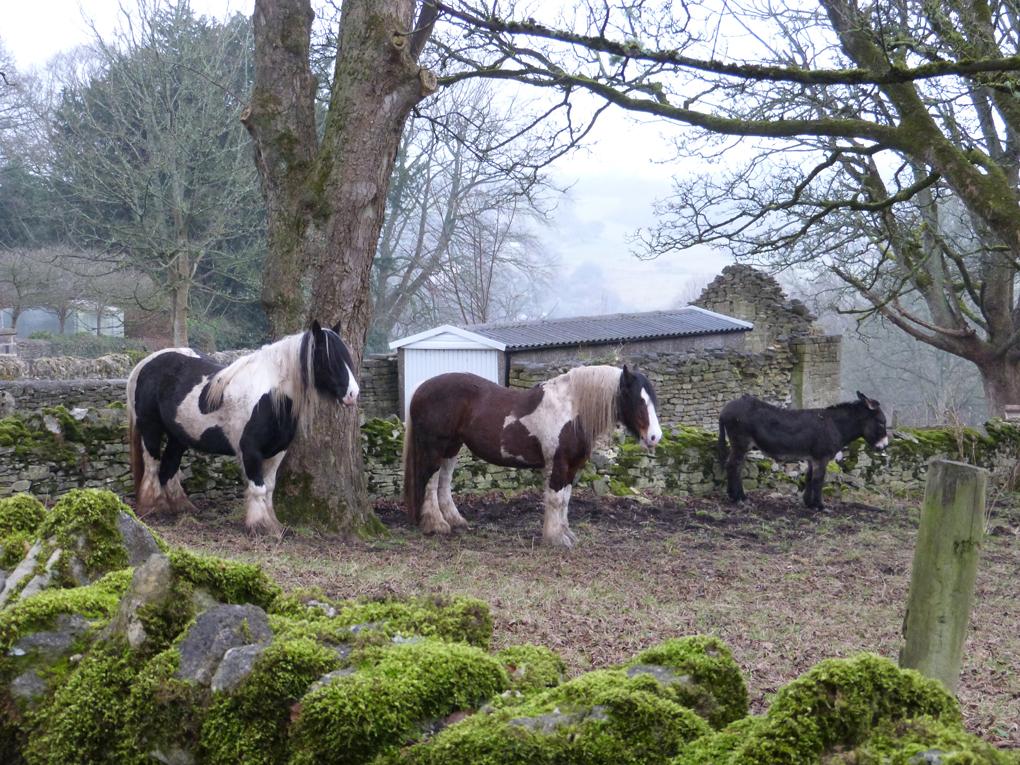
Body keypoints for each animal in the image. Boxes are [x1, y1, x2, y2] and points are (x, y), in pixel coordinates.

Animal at [126, 320, 359, 534]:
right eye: (329, 359)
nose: (353, 394)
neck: (271, 398)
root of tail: (143, 365)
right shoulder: (250, 451)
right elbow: (258, 488)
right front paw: (260, 525)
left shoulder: (278, 452)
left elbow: (269, 488)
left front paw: (273, 523)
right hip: (151, 430)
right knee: (153, 466)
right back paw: (153, 507)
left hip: (179, 437)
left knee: (169, 468)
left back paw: (180, 507)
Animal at [397, 369, 660, 546]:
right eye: (638, 399)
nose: (655, 437)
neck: (571, 410)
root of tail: (421, 386)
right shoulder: (558, 464)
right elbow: (555, 499)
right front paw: (555, 538)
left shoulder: (572, 467)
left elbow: (565, 499)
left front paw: (566, 533)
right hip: (435, 446)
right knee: (430, 482)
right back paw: (436, 525)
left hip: (452, 447)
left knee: (444, 480)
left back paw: (455, 521)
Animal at [718, 391, 885, 512]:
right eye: (881, 422)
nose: (883, 447)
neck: (835, 425)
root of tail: (725, 408)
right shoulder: (821, 458)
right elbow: (819, 480)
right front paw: (820, 506)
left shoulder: (812, 458)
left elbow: (809, 478)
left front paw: (808, 503)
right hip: (741, 443)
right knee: (733, 467)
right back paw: (740, 498)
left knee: (733, 467)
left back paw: (735, 496)